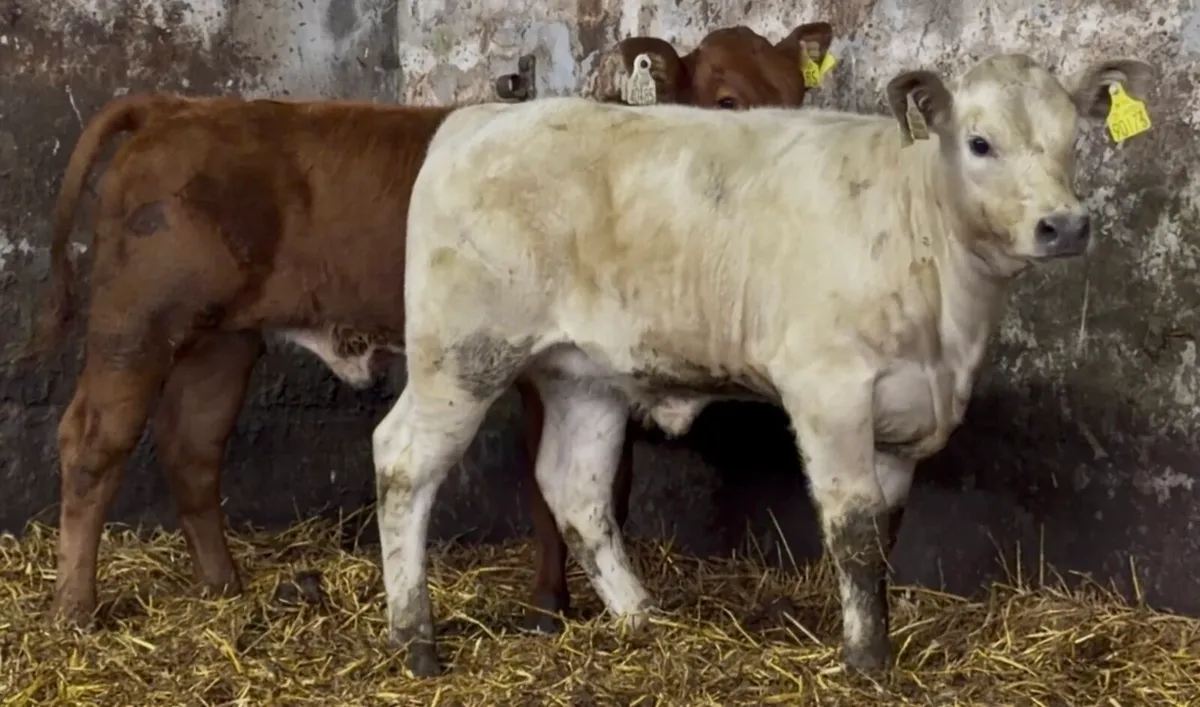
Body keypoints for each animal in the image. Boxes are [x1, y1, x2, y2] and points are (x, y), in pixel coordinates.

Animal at [28, 22, 836, 636]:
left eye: (800, 93)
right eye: (728, 99)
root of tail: (175, 106)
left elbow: (608, 483)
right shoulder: (543, 363)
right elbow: (550, 486)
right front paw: (549, 606)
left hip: (222, 342)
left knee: (191, 449)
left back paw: (224, 586)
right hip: (138, 325)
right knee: (93, 443)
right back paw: (75, 608)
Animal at [376, 52, 1155, 678]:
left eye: (1073, 141)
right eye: (980, 142)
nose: (1065, 224)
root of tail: (474, 120)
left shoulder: (904, 413)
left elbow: (886, 532)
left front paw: (878, 634)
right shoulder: (830, 389)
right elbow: (852, 529)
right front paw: (867, 660)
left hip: (583, 375)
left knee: (576, 490)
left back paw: (643, 617)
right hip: (462, 352)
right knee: (402, 460)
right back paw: (416, 641)